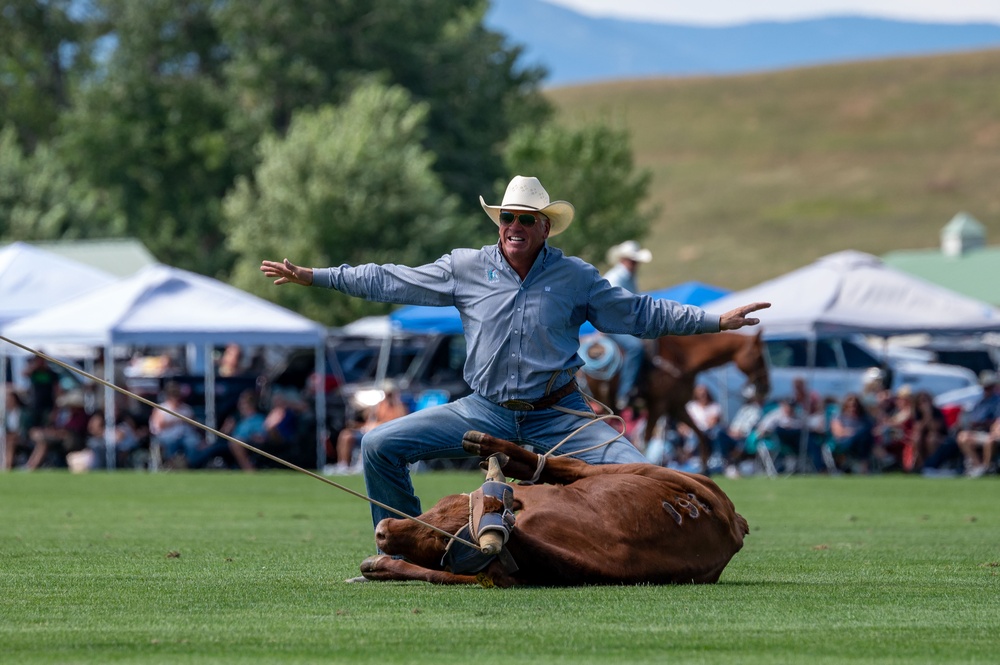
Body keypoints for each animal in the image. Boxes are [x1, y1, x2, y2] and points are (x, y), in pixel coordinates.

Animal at [356, 430, 748, 588]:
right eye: (441, 504)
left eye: (444, 540)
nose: (384, 529)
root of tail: (735, 524)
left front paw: (379, 564)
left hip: (645, 471)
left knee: (568, 465)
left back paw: (492, 446)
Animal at [584, 330, 768, 470]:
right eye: (759, 356)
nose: (766, 387)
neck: (683, 357)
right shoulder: (658, 405)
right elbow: (647, 439)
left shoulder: (677, 407)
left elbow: (702, 438)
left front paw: (705, 471)